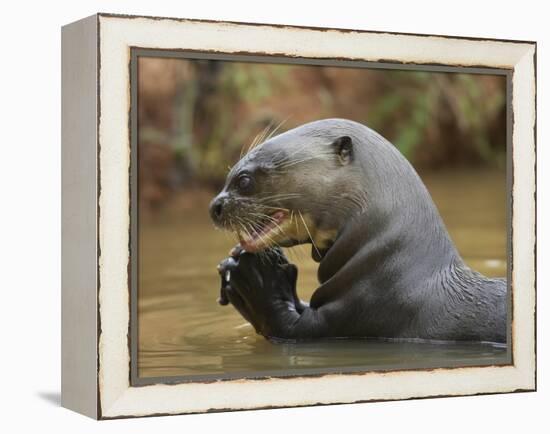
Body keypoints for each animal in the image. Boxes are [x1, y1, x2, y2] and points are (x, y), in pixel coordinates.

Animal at [210, 118, 508, 342]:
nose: (215, 206)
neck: (392, 269)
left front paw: (254, 275)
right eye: (228, 176)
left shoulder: (359, 314)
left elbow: (281, 324)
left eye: (244, 180)